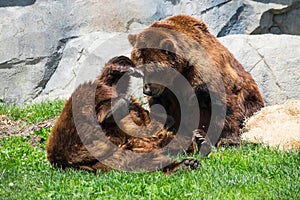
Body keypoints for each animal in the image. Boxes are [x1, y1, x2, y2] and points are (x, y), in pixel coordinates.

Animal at [127, 14, 264, 148]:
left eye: (154, 70)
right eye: (139, 71)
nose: (147, 90)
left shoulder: (203, 73)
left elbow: (220, 103)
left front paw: (225, 139)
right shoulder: (168, 90)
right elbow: (161, 107)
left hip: (249, 94)